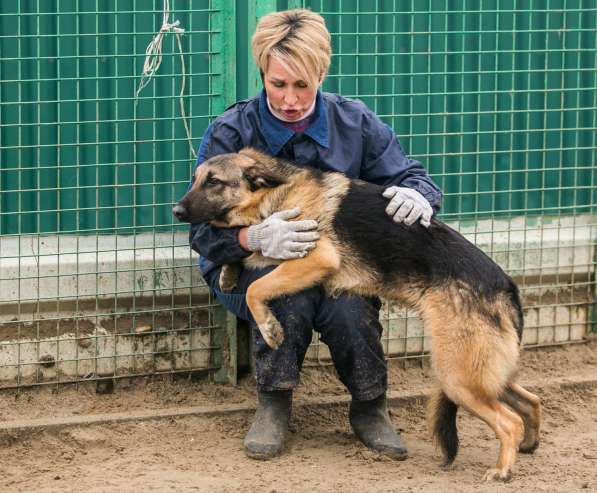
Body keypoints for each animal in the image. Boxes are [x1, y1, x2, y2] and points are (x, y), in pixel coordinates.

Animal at [172, 146, 540, 480]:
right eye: (196, 179)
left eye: (214, 181)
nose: (175, 210)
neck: (277, 191)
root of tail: (506, 286)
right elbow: (249, 251)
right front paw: (229, 270)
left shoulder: (317, 258)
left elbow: (255, 289)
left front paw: (270, 327)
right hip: (478, 371)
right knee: (530, 400)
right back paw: (529, 444)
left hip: (457, 375)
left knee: (510, 420)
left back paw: (502, 469)